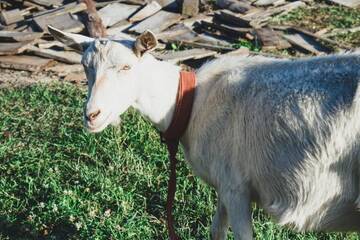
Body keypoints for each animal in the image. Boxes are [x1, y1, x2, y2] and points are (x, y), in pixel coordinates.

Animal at [49, 26, 360, 240]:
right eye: (85, 67)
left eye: (127, 66)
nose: (92, 115)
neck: (191, 101)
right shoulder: (223, 182)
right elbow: (216, 231)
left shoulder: (236, 186)